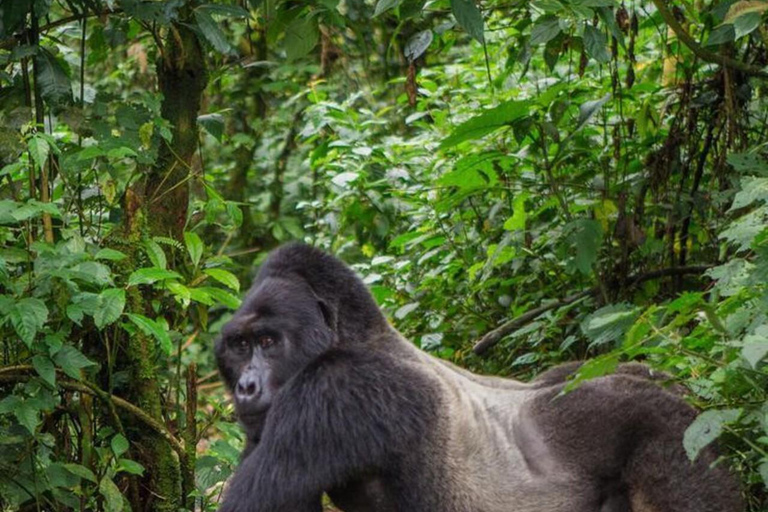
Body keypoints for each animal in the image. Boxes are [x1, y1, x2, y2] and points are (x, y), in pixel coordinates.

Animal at [214, 242, 743, 512]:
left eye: (268, 342)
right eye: (239, 347)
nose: (246, 387)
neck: (361, 336)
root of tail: (679, 391)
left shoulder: (335, 389)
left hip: (677, 430)